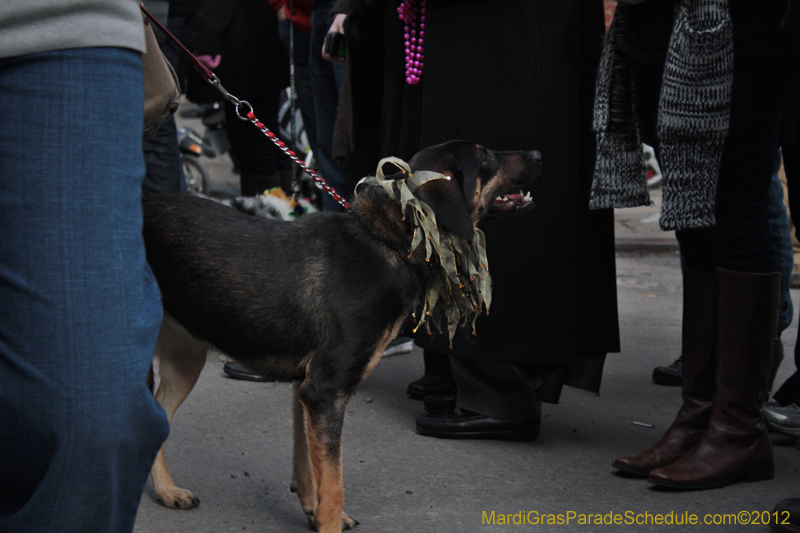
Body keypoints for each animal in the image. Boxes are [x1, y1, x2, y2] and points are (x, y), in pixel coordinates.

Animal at [141, 140, 540, 532]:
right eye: (484, 156)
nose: (538, 154)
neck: (388, 241)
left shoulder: (306, 390)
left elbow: (307, 464)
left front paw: (311, 511)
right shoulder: (325, 392)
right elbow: (333, 486)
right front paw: (327, 519)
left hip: (186, 358)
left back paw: (166, 490)